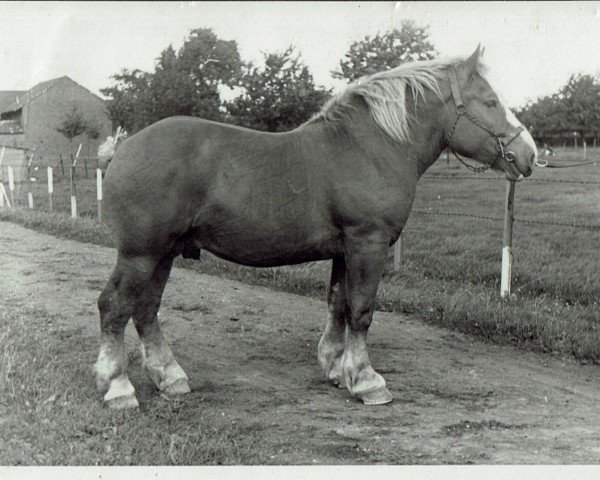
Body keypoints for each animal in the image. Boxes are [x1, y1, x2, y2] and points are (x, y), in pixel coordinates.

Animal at [95, 47, 540, 408]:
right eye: (490, 101)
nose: (529, 154)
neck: (370, 148)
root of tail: (123, 149)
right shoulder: (368, 243)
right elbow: (361, 310)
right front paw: (366, 381)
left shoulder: (345, 250)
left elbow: (338, 303)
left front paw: (336, 367)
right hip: (141, 254)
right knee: (115, 307)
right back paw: (118, 387)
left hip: (164, 253)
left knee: (146, 310)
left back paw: (169, 377)